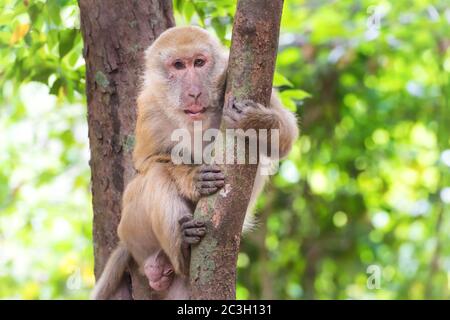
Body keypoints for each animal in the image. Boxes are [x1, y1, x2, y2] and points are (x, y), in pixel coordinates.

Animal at [90, 25, 298, 300]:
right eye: (178, 65)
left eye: (199, 63)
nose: (194, 92)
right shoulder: (149, 104)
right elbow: (147, 161)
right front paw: (193, 178)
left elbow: (285, 139)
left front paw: (254, 121)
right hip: (131, 226)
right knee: (155, 174)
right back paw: (182, 249)